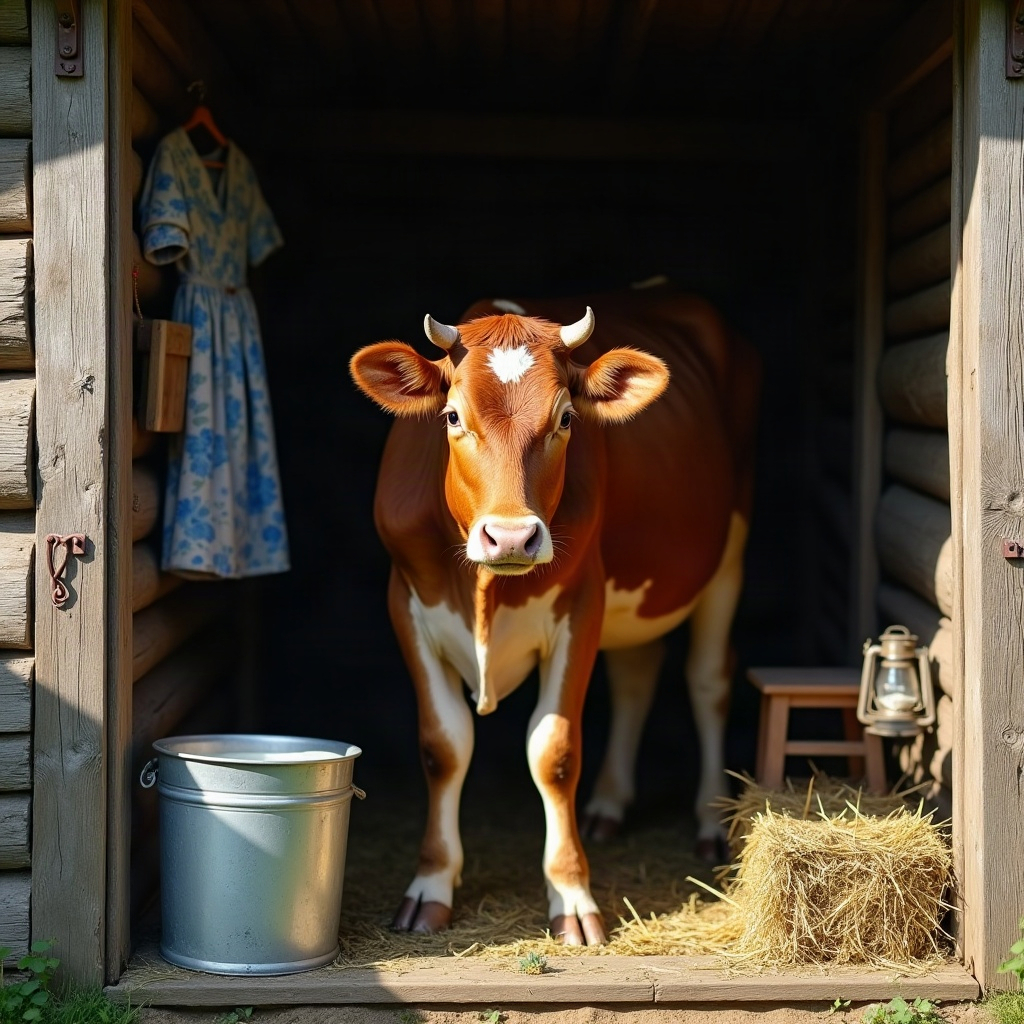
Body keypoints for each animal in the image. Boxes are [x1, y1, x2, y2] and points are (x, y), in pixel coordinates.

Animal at [349, 286, 759, 946]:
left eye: (565, 419)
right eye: (452, 417)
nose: (512, 537)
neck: (484, 592)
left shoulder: (582, 603)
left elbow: (554, 750)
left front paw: (570, 896)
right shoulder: (405, 601)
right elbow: (443, 745)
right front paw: (431, 885)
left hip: (729, 554)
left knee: (708, 681)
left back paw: (709, 822)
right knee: (638, 674)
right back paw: (609, 806)